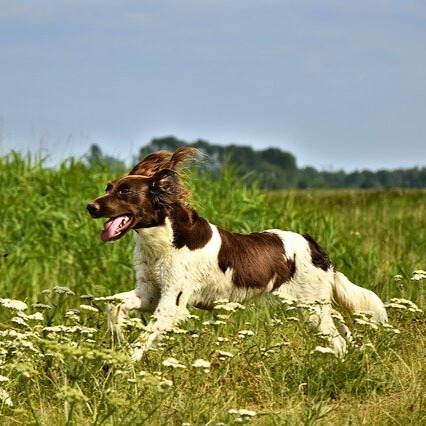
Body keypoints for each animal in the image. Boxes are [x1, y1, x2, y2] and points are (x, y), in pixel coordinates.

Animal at [85, 146, 386, 360]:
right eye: (108, 188)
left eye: (125, 191)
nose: (90, 206)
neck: (164, 241)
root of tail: (315, 246)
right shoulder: (150, 292)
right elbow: (114, 306)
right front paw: (117, 335)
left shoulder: (173, 302)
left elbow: (142, 340)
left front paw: (122, 365)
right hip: (315, 306)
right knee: (343, 330)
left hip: (311, 307)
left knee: (337, 341)